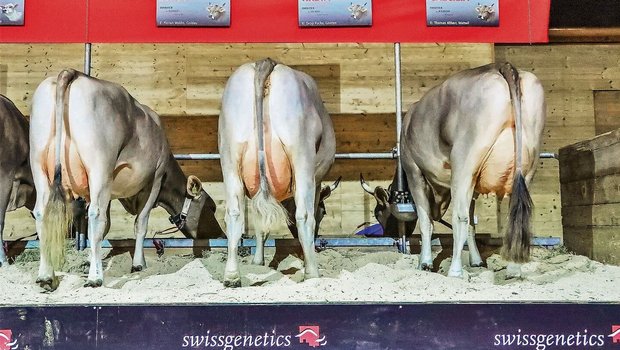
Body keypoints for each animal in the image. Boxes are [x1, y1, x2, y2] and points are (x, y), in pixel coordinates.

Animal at [29, 68, 223, 290]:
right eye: (211, 207)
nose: (221, 236)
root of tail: (72, 72)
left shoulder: (107, 191)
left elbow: (104, 229)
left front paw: (90, 259)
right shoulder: (155, 179)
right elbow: (140, 223)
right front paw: (138, 264)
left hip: (39, 165)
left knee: (42, 213)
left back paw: (46, 276)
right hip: (99, 165)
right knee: (95, 215)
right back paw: (95, 278)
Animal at [218, 58, 334, 288]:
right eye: (324, 212)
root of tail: (265, 62)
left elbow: (260, 224)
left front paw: (258, 262)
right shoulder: (316, 180)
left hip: (229, 157)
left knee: (234, 214)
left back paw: (232, 276)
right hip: (302, 155)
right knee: (304, 215)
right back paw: (312, 273)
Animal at [360, 62, 544, 276]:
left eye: (377, 213)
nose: (389, 236)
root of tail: (499, 66)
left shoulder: (414, 171)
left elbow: (427, 222)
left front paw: (424, 263)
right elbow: (472, 223)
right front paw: (476, 260)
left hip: (463, 163)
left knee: (459, 217)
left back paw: (455, 270)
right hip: (528, 165)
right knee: (513, 214)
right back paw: (514, 269)